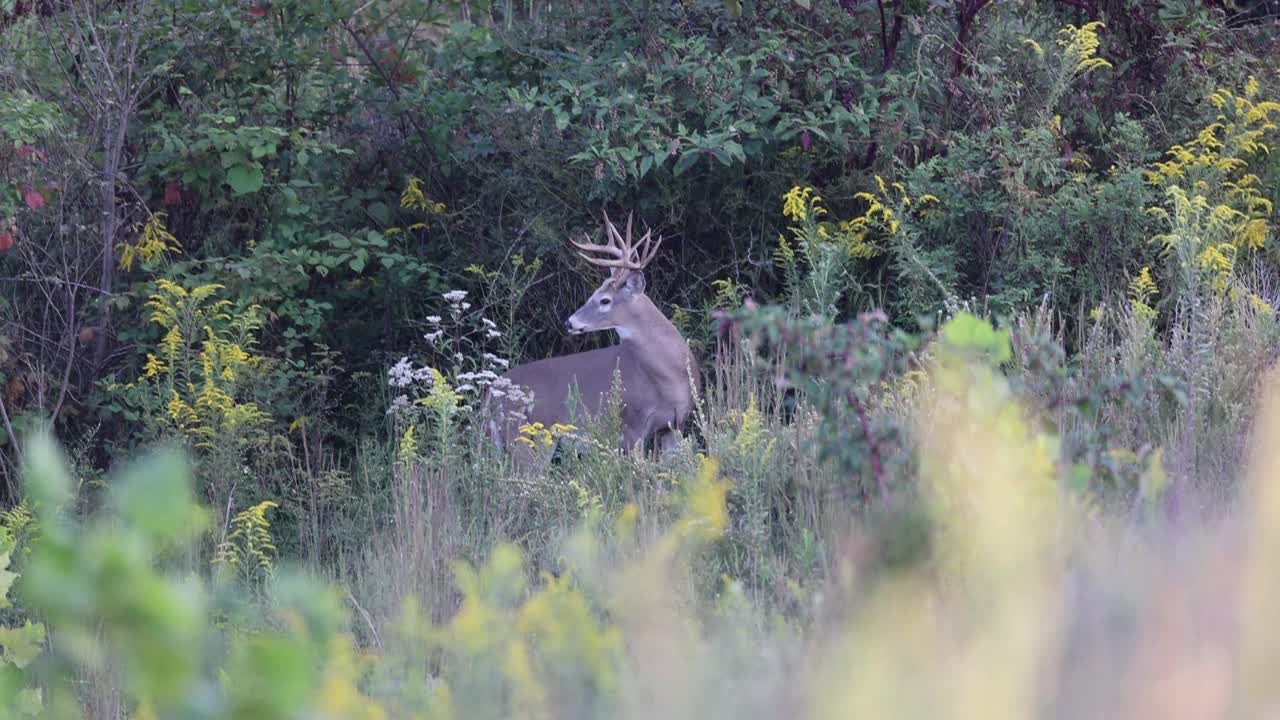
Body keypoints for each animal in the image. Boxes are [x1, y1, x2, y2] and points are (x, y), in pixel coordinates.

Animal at [481, 208, 701, 466]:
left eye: (604, 300)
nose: (569, 322)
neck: (670, 373)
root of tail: (491, 395)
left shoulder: (674, 426)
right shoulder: (632, 424)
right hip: (528, 435)